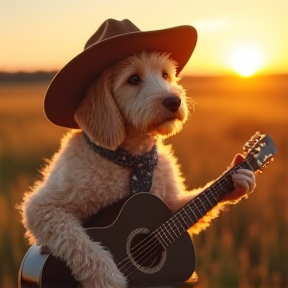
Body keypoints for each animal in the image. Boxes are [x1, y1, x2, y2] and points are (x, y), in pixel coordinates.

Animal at [20, 19, 255, 286]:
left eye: (165, 74)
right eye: (133, 79)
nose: (174, 101)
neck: (133, 158)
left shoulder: (169, 201)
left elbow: (183, 204)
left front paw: (240, 179)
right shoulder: (45, 207)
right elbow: (75, 240)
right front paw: (107, 276)